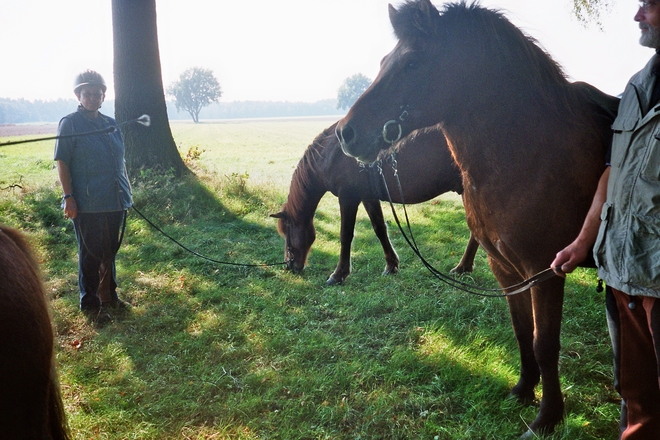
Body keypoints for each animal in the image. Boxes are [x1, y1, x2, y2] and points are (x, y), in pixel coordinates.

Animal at [270, 121, 476, 286]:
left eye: (287, 231)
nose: (289, 265)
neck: (331, 154)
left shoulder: (348, 197)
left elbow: (345, 235)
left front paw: (338, 275)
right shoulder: (368, 197)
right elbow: (380, 229)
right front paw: (391, 265)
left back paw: (462, 267)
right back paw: (464, 267)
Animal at [338, 2, 620, 436]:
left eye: (413, 63)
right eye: (385, 61)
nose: (346, 134)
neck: (530, 151)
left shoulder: (545, 270)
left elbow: (544, 343)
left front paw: (547, 417)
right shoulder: (507, 269)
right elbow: (522, 332)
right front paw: (523, 390)